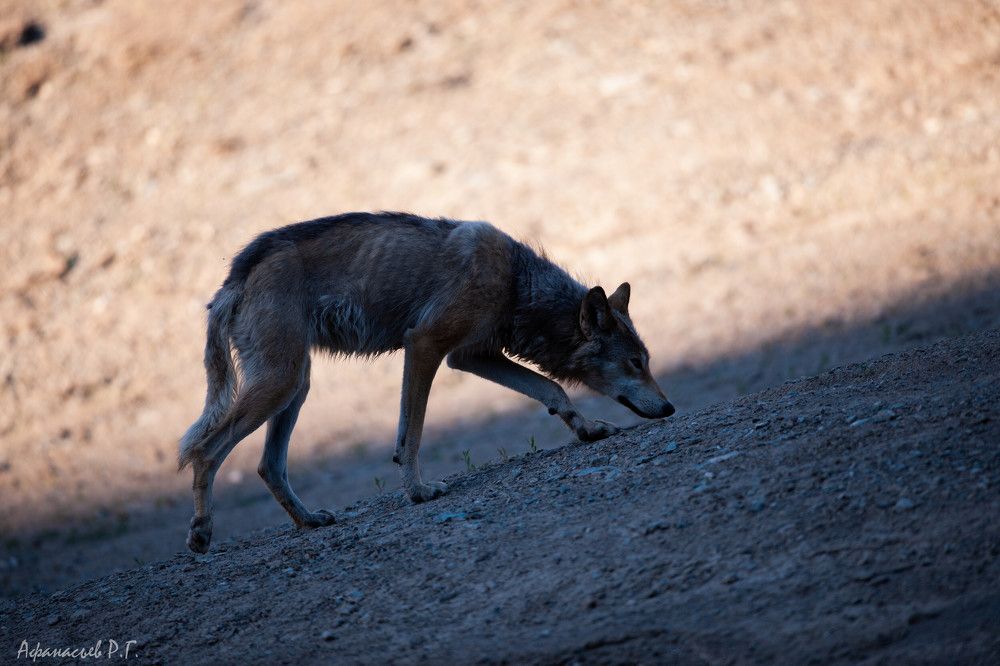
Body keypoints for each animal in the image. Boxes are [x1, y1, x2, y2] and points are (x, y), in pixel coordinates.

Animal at [179, 212, 674, 553]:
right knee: (204, 451)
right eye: (635, 363)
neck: (516, 283)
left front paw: (588, 429)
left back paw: (308, 521)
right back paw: (201, 534)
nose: (670, 408)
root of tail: (235, 275)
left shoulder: (472, 356)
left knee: (268, 466)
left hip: (295, 387)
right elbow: (411, 435)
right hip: (280, 384)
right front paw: (418, 493)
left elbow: (552, 390)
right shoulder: (424, 346)